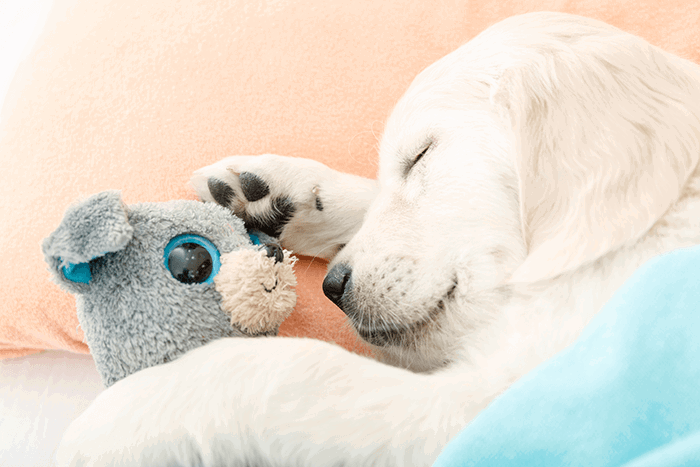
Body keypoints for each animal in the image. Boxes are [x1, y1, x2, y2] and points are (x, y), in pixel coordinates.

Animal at [57, 11, 700, 467]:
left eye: (423, 154)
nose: (334, 288)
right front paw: (282, 196)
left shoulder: (510, 409)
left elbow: (294, 371)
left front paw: (119, 417)